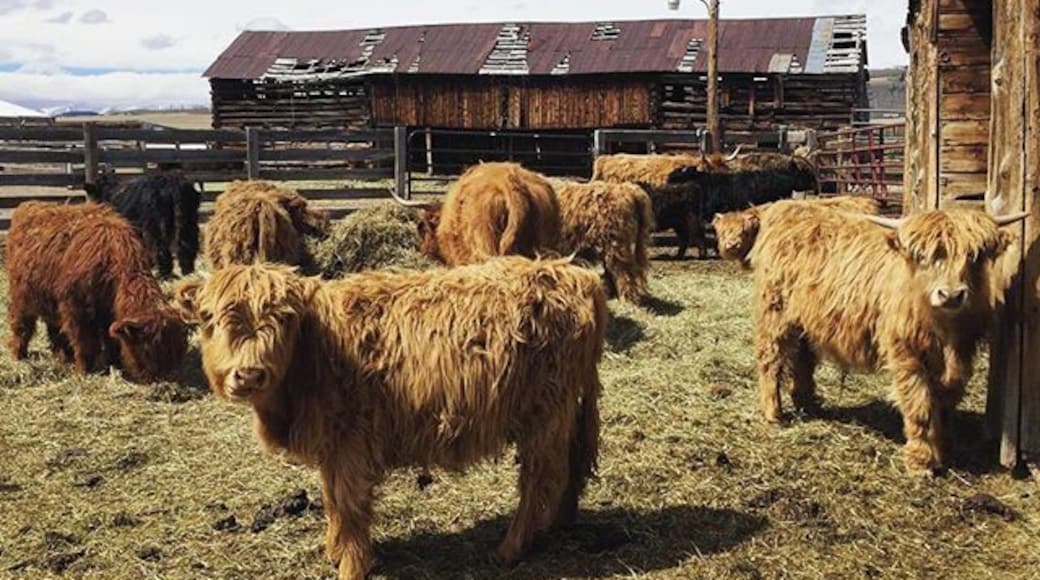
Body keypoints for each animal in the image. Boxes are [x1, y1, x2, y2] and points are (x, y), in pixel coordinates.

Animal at [6, 202, 188, 383]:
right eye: (149, 349)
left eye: (178, 349)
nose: (163, 379)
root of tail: (29, 205)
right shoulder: (75, 310)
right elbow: (84, 343)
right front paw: (82, 372)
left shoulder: (106, 314)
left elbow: (111, 342)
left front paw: (115, 366)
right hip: (21, 297)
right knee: (22, 327)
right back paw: (19, 356)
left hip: (50, 301)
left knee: (54, 330)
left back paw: (62, 358)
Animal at [173, 257, 606, 578]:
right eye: (209, 318)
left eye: (283, 319)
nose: (249, 374)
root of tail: (573, 273)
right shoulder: (331, 447)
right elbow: (331, 500)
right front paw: (333, 550)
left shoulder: (349, 443)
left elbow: (348, 504)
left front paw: (351, 565)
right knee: (571, 463)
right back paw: (559, 521)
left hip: (543, 415)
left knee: (540, 477)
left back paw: (511, 547)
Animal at [749, 206, 1028, 475]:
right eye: (924, 256)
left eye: (974, 256)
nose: (950, 295)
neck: (944, 329)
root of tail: (789, 210)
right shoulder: (907, 354)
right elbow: (919, 404)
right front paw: (920, 461)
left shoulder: (961, 355)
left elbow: (943, 404)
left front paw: (941, 453)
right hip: (775, 312)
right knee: (771, 359)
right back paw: (774, 413)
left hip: (806, 321)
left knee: (803, 359)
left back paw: (808, 403)